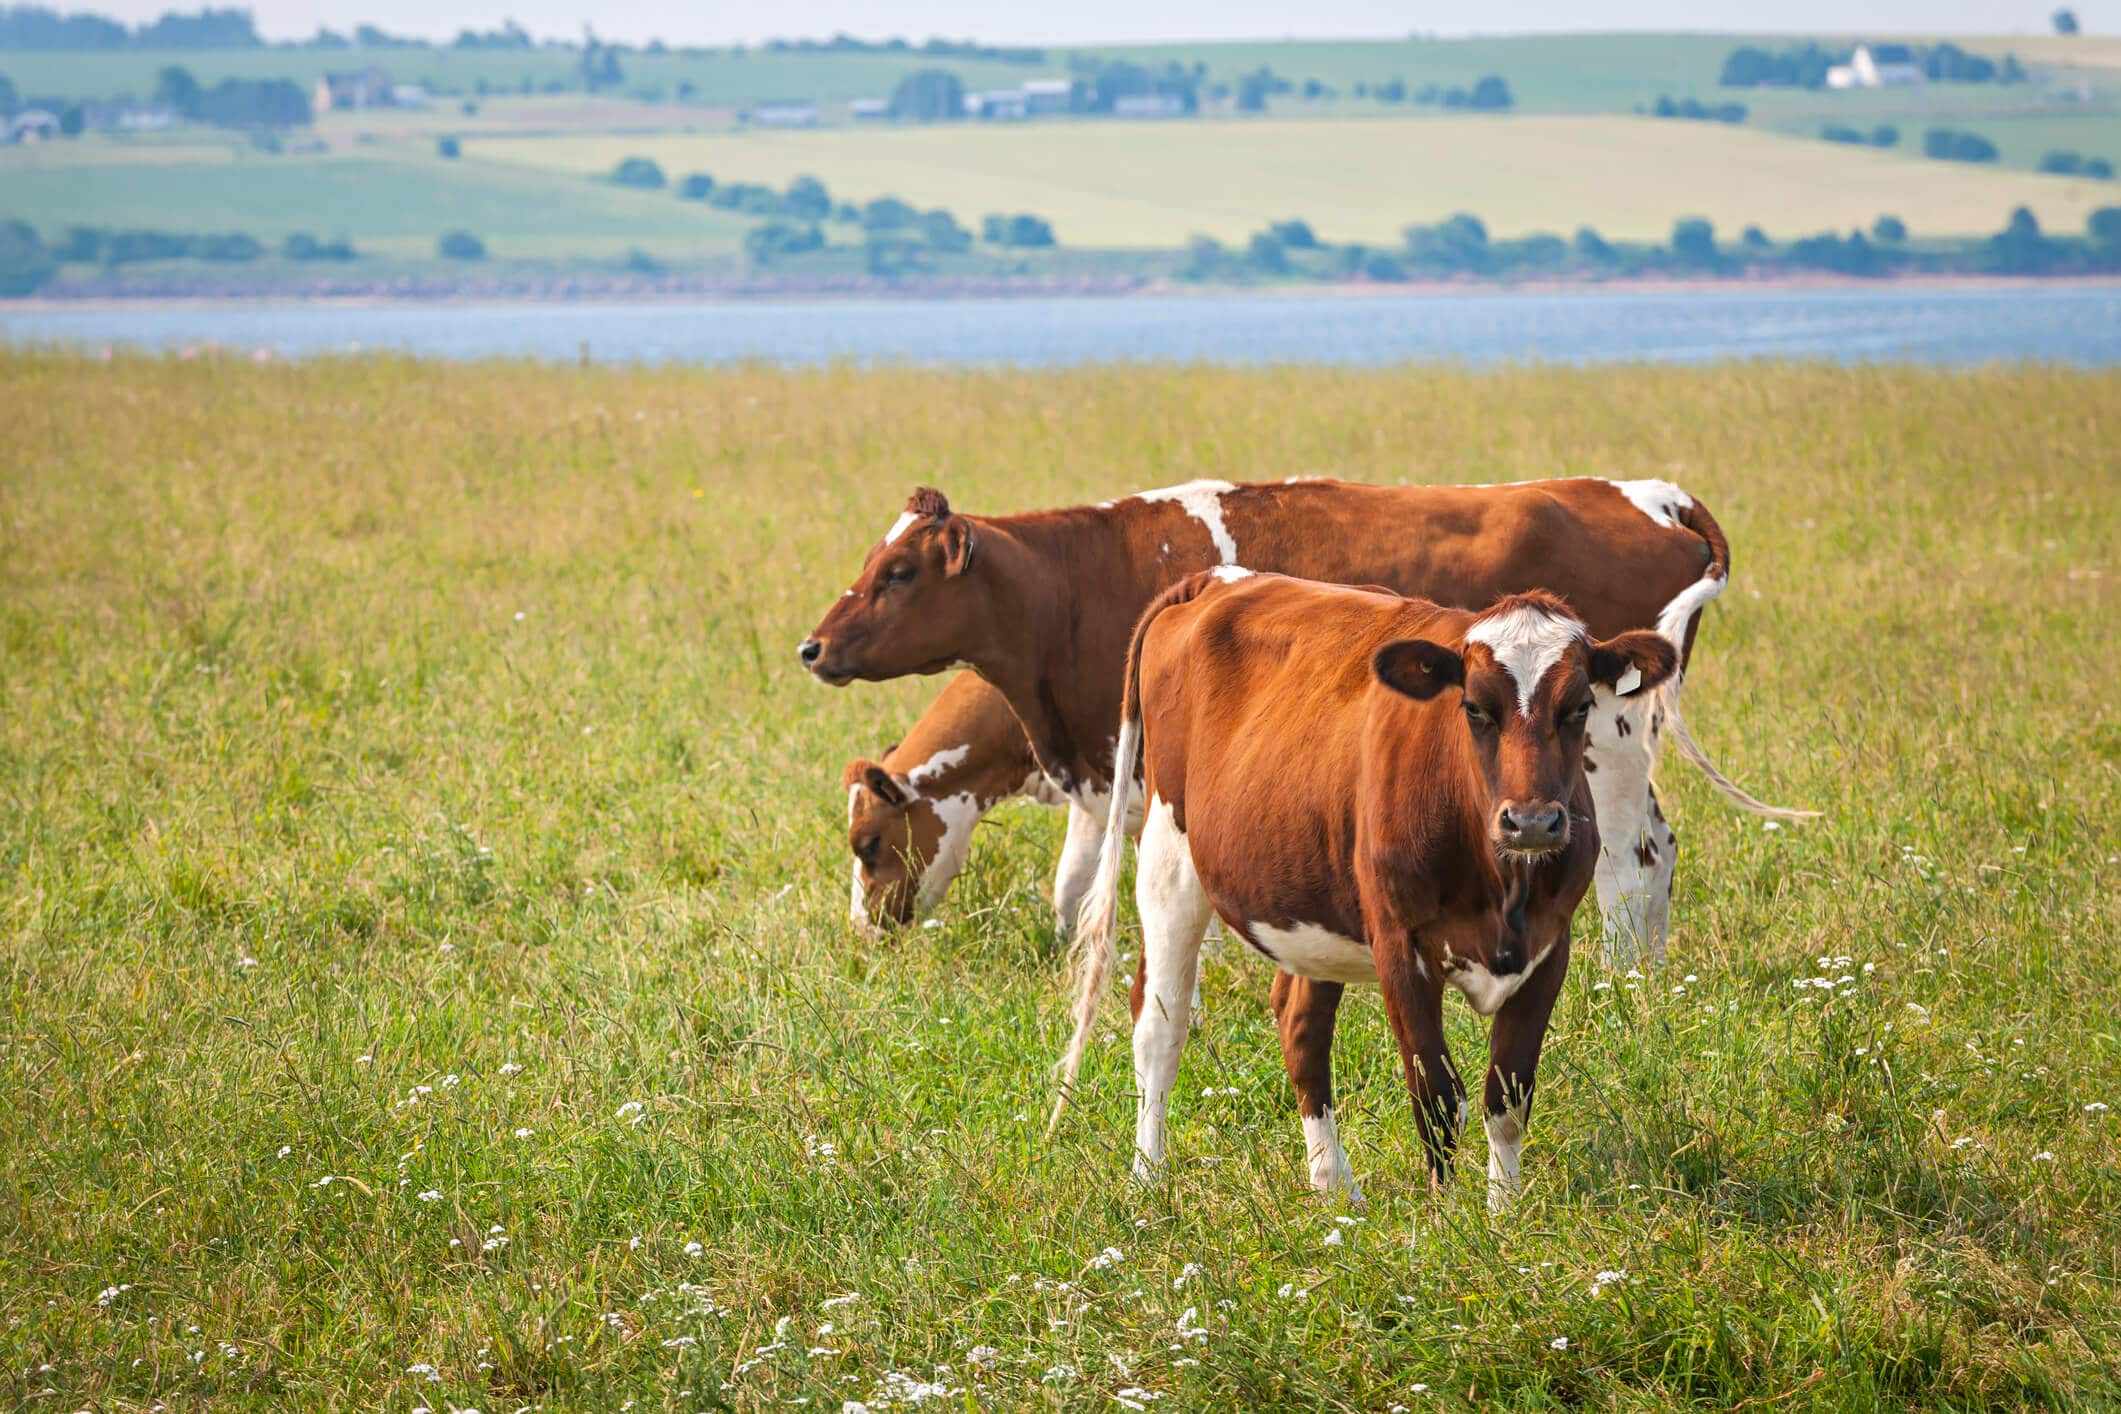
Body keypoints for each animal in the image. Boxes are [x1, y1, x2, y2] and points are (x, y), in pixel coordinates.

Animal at [1060, 568, 1688, 1212]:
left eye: (1580, 705)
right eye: (1474, 708)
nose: (1533, 822)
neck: (1503, 884)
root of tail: (1215, 580)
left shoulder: (1548, 948)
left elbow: (1507, 1096)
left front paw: (1503, 1213)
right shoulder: (1399, 946)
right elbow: (1437, 1098)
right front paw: (1447, 1217)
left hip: (1306, 897)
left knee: (1300, 1025)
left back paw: (1334, 1186)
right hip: (1169, 855)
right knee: (1159, 1024)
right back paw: (1147, 1178)